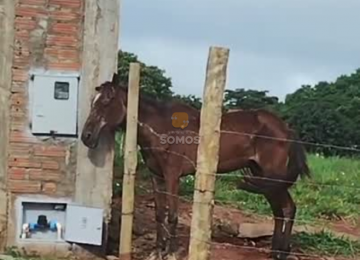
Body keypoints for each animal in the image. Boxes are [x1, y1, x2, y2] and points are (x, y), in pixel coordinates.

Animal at [81, 73, 310, 260]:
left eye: (107, 101)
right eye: (94, 101)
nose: (86, 136)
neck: (161, 129)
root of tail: (286, 128)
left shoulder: (172, 176)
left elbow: (172, 215)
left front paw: (171, 253)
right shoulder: (157, 176)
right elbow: (159, 214)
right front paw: (157, 251)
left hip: (272, 177)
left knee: (288, 208)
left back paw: (281, 253)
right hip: (263, 178)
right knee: (280, 211)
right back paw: (275, 252)